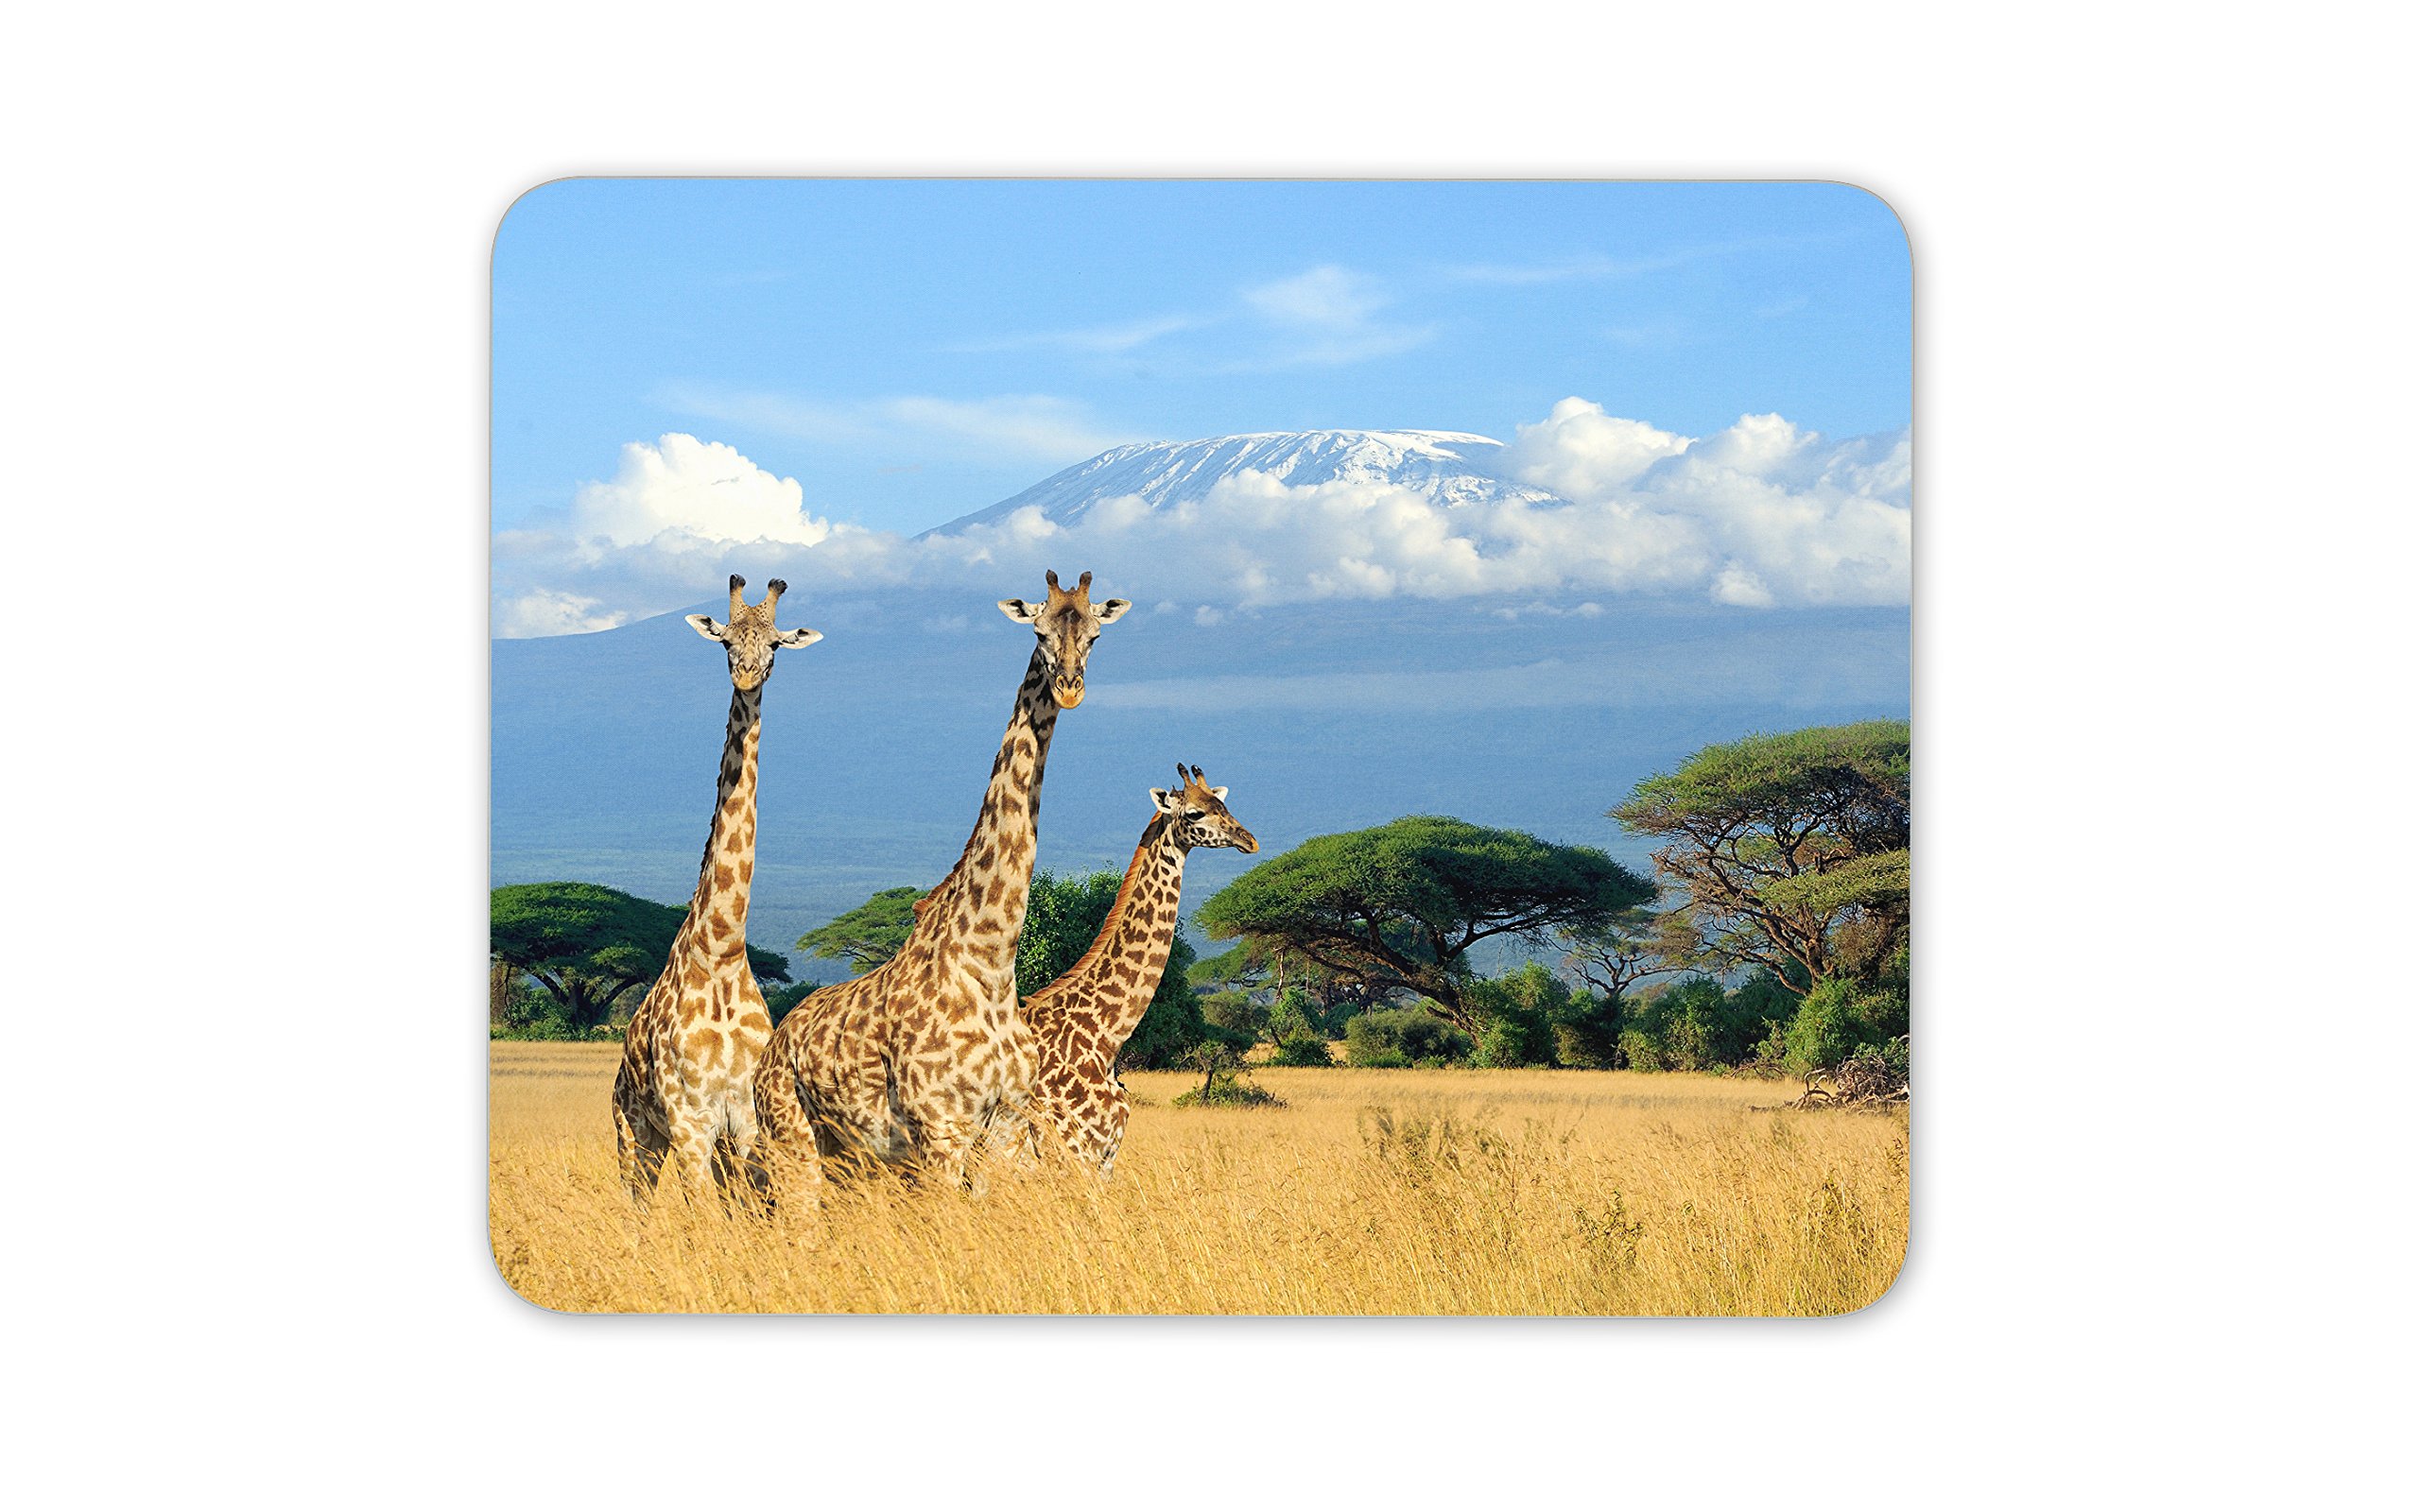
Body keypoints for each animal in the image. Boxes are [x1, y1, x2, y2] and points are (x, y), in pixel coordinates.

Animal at [611, 575, 822, 1206]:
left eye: (775, 644)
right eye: (726, 640)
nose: (747, 676)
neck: (723, 950)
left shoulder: (745, 1120)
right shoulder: (690, 1120)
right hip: (635, 1133)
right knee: (637, 1203)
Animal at [753, 569, 1128, 1203]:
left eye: (1096, 635)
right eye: (1038, 631)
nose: (1070, 688)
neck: (991, 961)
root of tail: (773, 1046)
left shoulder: (1006, 1127)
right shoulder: (941, 1129)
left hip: (850, 1157)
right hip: (792, 1139)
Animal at [1022, 765, 1257, 1176]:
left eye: (1225, 805)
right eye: (1195, 813)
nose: (1250, 840)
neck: (1105, 1037)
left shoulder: (1104, 1157)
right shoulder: (1072, 1153)